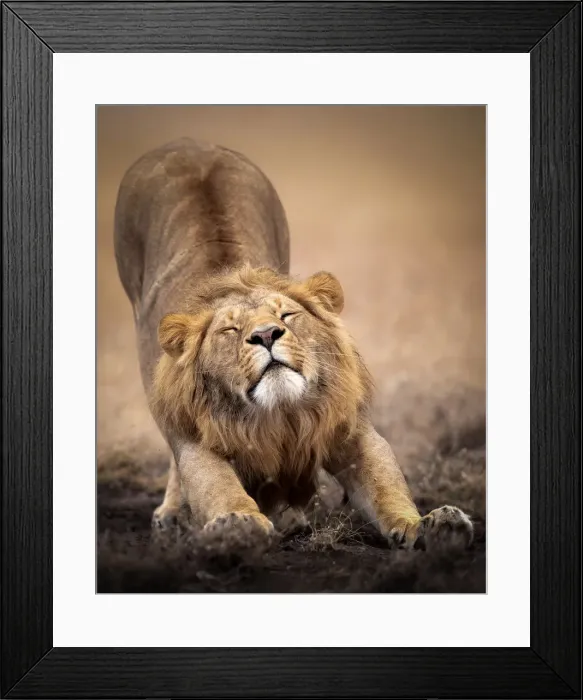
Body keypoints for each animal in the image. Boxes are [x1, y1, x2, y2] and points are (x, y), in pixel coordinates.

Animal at [114, 138, 473, 549]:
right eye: (230, 330)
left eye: (286, 316)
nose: (266, 335)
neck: (279, 415)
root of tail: (191, 143)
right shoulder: (194, 433)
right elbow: (215, 484)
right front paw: (238, 521)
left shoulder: (347, 426)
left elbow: (386, 487)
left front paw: (433, 524)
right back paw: (175, 514)